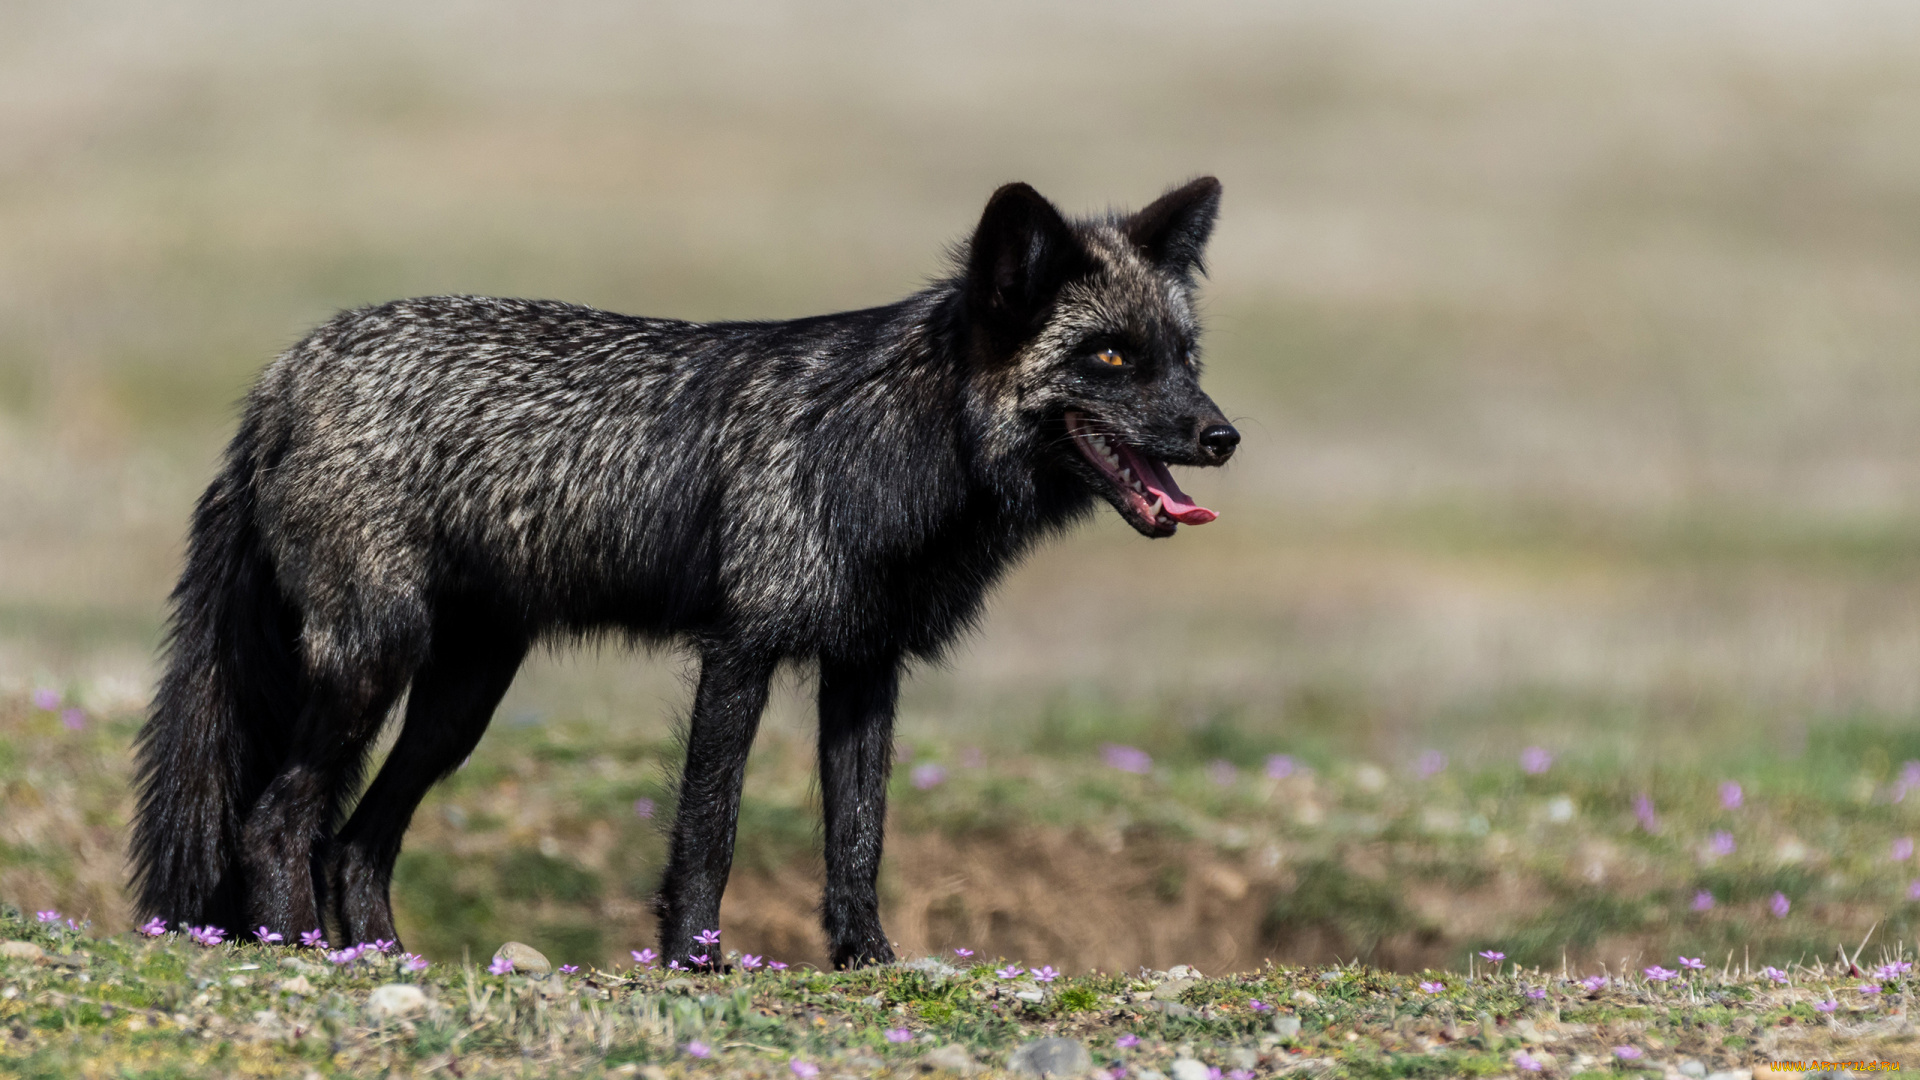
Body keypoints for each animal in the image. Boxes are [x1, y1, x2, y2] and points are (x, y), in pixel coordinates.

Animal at [129, 177, 1241, 969]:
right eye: (1109, 359)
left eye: (1184, 356)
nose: (1223, 437)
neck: (893, 451)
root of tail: (288, 368)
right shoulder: (740, 651)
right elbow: (711, 828)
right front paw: (692, 963)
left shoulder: (865, 666)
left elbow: (860, 837)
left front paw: (869, 964)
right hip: (375, 666)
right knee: (276, 820)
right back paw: (300, 955)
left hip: (459, 702)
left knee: (355, 841)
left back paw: (388, 960)